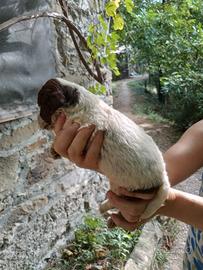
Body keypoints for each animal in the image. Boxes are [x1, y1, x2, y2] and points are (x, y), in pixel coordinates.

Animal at [37, 77, 170, 219]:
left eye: (41, 104)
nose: (38, 122)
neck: (78, 105)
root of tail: (163, 176)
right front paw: (53, 150)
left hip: (127, 190)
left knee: (117, 200)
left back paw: (104, 208)